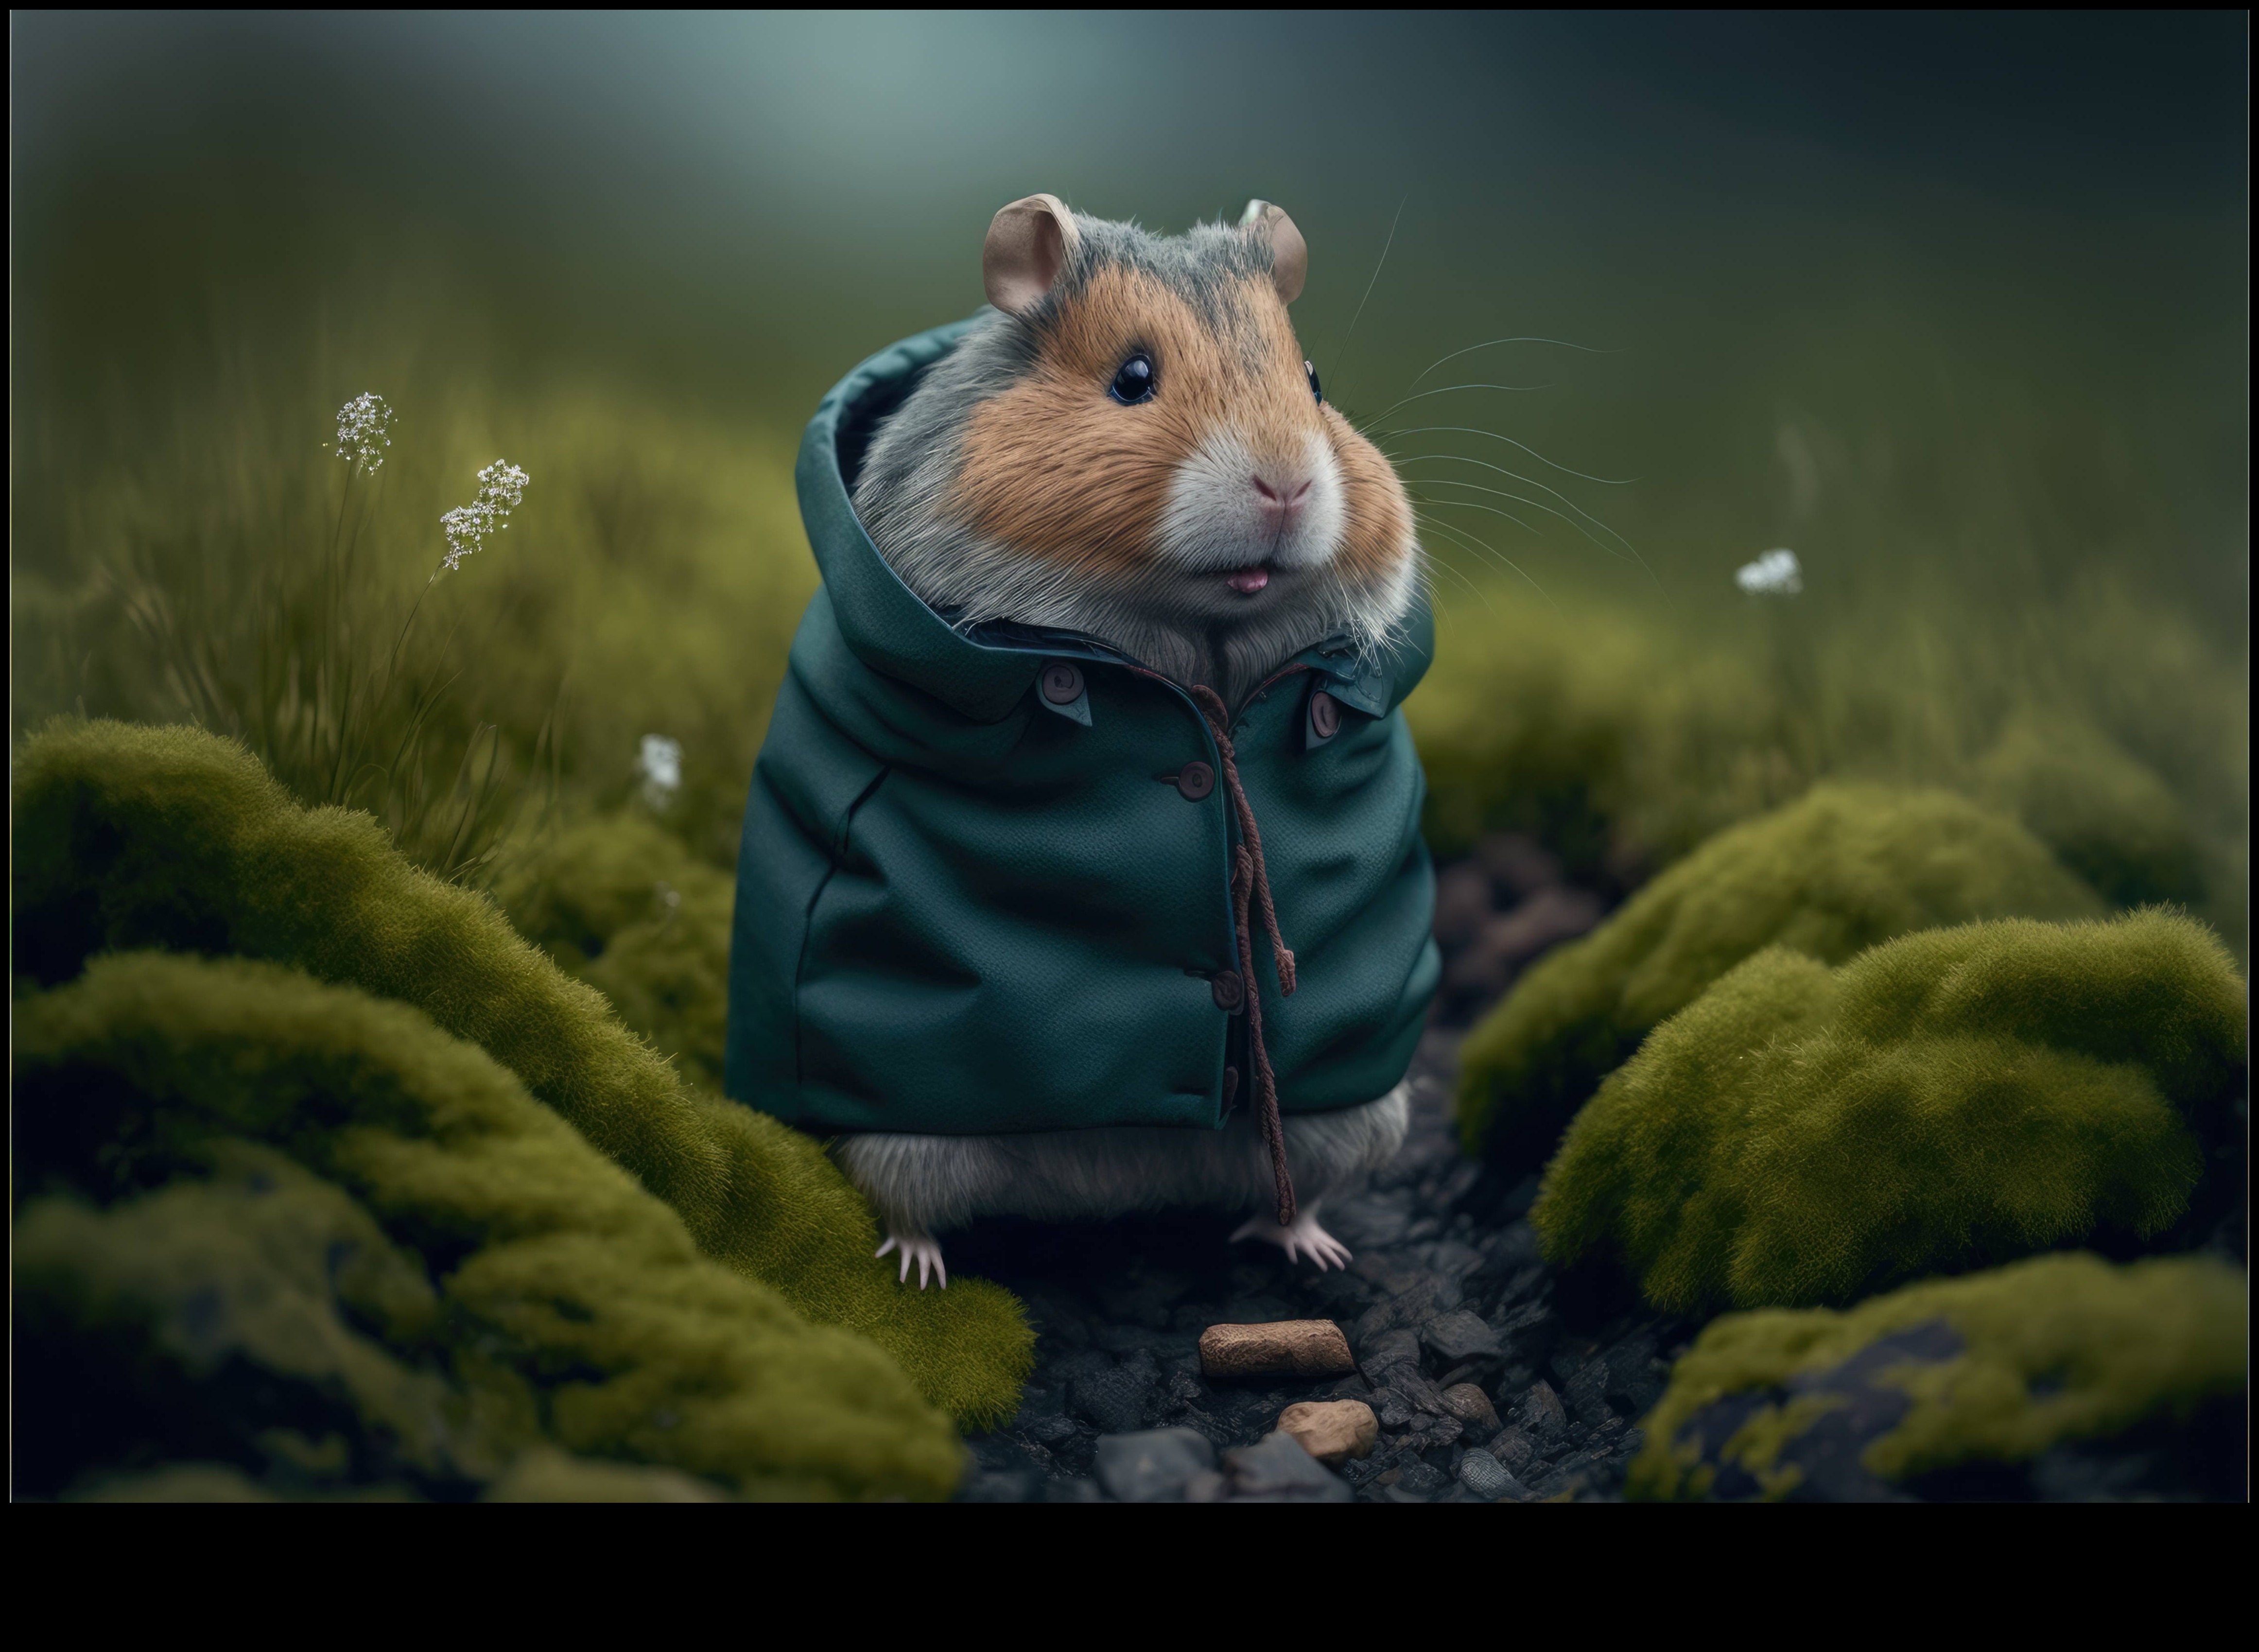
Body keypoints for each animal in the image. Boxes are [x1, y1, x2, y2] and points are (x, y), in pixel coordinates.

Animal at [833, 194, 1426, 1287]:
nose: (1286, 485)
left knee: (1295, 1188)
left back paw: (1311, 1248)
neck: (1188, 622)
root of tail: (1107, 1187)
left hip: (1348, 1121)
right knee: (905, 1194)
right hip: (910, 1132)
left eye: (1313, 380)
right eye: (1131, 379)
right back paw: (917, 1266)